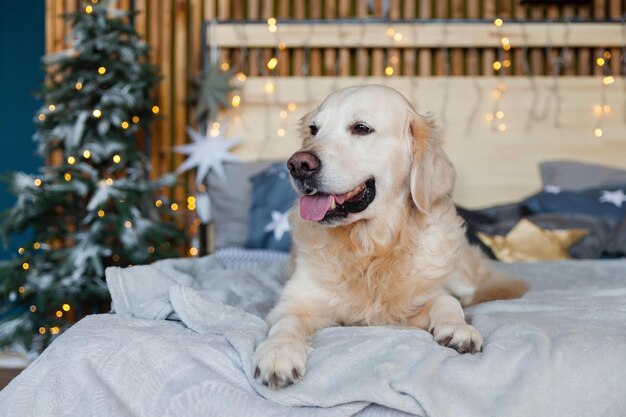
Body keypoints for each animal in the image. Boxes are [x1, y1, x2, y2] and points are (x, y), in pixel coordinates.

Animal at [251, 84, 524, 390]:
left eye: (361, 128)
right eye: (314, 129)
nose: (298, 164)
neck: (371, 247)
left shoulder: (410, 308)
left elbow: (445, 301)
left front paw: (459, 328)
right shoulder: (296, 302)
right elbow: (285, 322)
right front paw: (279, 354)